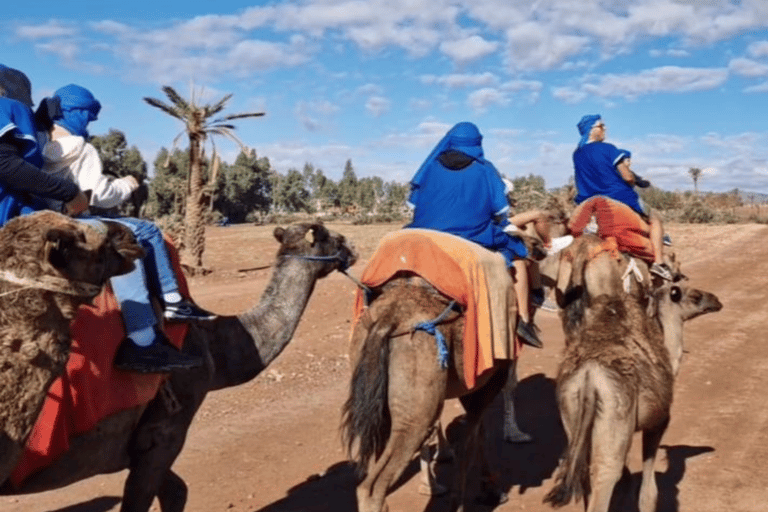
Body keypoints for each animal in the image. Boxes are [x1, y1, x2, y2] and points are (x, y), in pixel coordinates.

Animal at [544, 282, 724, 510]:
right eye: (695, 296)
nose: (717, 301)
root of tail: (588, 377)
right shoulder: (658, 422)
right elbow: (648, 491)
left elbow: (627, 481)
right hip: (615, 414)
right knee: (606, 475)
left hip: (571, 413)